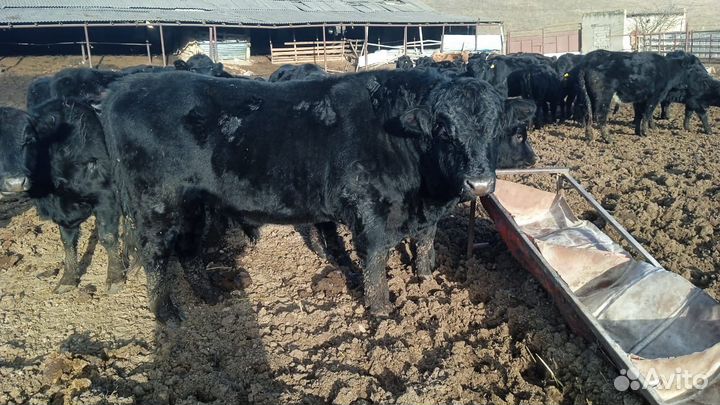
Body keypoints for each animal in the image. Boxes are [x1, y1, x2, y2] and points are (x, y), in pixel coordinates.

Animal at [0, 100, 126, 293]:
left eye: (29, 140)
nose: (15, 183)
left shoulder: (106, 197)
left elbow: (107, 236)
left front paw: (115, 278)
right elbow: (67, 241)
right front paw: (68, 279)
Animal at [100, 69, 533, 321]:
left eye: (497, 127)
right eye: (444, 129)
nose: (479, 184)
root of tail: (125, 86)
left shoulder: (424, 212)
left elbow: (425, 242)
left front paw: (426, 279)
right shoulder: (369, 211)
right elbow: (374, 264)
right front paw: (382, 312)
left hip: (198, 206)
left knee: (189, 251)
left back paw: (209, 297)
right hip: (157, 205)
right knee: (156, 255)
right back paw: (166, 314)